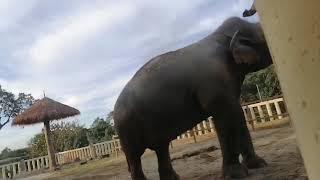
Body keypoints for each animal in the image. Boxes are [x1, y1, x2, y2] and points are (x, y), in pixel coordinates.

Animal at [114, 16, 272, 179]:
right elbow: (226, 116)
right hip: (126, 127)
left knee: (161, 147)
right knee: (135, 156)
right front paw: (237, 175)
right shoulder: (214, 83)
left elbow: (238, 114)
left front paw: (259, 164)